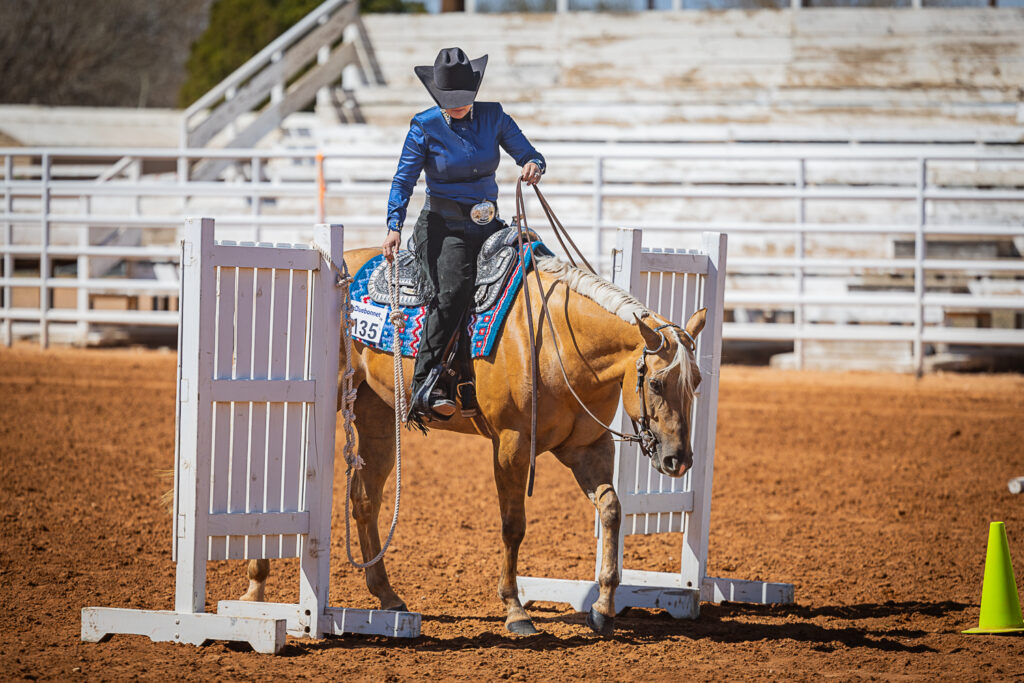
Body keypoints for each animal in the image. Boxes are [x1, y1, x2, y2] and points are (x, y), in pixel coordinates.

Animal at [241, 246, 708, 636]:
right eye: (658, 384)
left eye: (697, 382)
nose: (679, 459)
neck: (558, 341)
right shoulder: (511, 446)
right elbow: (513, 526)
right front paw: (516, 611)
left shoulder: (588, 448)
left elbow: (611, 511)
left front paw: (604, 607)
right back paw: (255, 587)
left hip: (377, 416)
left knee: (364, 499)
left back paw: (388, 596)